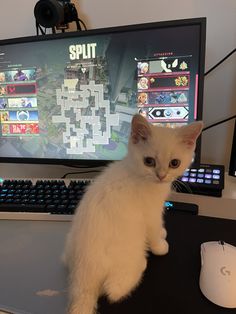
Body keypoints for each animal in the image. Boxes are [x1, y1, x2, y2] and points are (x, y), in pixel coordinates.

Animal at [62, 114, 203, 312]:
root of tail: (84, 278)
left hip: (69, 245)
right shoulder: (151, 213)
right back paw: (141, 264)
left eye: (174, 163)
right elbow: (154, 230)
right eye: (149, 161)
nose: (161, 175)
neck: (137, 173)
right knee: (115, 289)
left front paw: (162, 233)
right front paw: (160, 245)